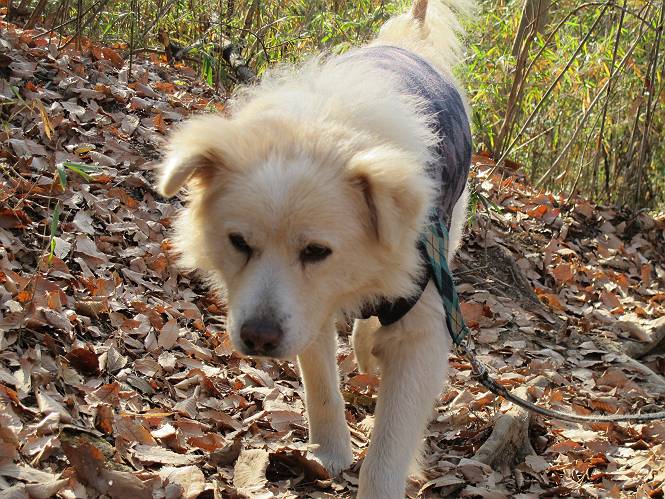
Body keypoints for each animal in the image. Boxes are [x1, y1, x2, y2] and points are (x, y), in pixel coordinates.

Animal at [156, 1, 472, 497]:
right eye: (239, 243)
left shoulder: (422, 323)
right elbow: (321, 384)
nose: (258, 338)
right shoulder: (309, 313)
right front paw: (329, 454)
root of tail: (411, 42)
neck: (325, 124)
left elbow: (389, 447)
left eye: (317, 252)